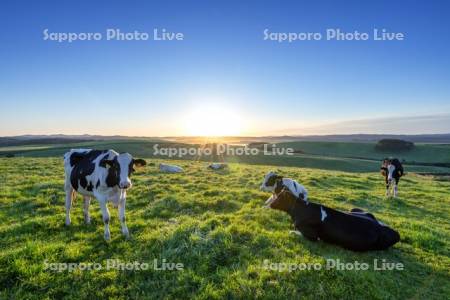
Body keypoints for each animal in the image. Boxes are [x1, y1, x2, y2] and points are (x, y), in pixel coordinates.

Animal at [264, 190, 400, 251]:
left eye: (278, 197)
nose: (267, 204)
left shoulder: (313, 236)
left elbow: (295, 232)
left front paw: (291, 231)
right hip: (356, 210)